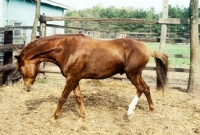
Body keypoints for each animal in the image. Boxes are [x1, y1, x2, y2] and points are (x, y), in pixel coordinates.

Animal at [14, 34, 167, 121]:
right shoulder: (74, 78)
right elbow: (78, 97)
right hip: (137, 74)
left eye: (20, 69)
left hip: (132, 74)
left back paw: (129, 113)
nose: (27, 88)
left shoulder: (71, 78)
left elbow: (63, 97)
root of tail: (148, 49)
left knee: (140, 88)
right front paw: (82, 117)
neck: (67, 49)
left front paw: (54, 117)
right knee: (146, 88)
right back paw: (151, 109)